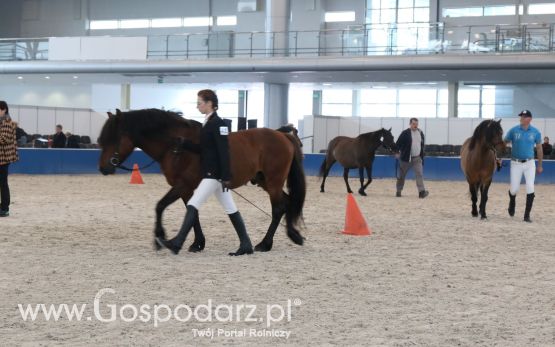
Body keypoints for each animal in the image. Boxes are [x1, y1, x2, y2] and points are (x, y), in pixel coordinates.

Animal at [97, 109, 306, 253]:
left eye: (113, 138)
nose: (103, 168)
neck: (177, 147)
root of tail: (282, 135)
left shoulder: (182, 184)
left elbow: (160, 206)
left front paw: (161, 237)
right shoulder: (186, 188)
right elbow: (192, 213)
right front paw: (197, 243)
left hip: (273, 182)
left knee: (278, 208)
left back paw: (265, 243)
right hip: (265, 181)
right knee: (287, 203)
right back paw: (293, 235)